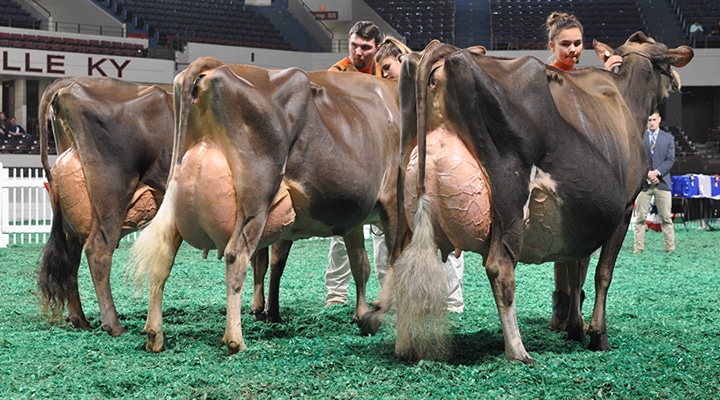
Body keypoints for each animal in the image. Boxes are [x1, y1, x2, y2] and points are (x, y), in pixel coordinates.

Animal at [37, 77, 175, 336]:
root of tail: (71, 84)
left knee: (72, 255)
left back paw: (79, 318)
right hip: (113, 193)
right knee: (98, 250)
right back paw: (113, 324)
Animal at [129, 57, 402, 354]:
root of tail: (215, 67)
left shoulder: (354, 218)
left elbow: (360, 264)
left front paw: (361, 313)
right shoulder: (394, 202)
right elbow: (394, 263)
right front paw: (374, 316)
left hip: (177, 199)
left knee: (163, 254)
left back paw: (154, 333)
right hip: (256, 198)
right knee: (236, 254)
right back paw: (234, 338)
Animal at [360, 32, 693, 363]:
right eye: (667, 62)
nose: (678, 82)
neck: (626, 99)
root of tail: (445, 51)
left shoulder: (580, 219)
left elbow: (575, 272)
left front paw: (576, 329)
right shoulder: (624, 209)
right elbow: (603, 274)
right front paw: (598, 335)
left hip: (405, 197)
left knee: (400, 263)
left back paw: (403, 344)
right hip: (510, 193)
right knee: (500, 267)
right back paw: (518, 350)